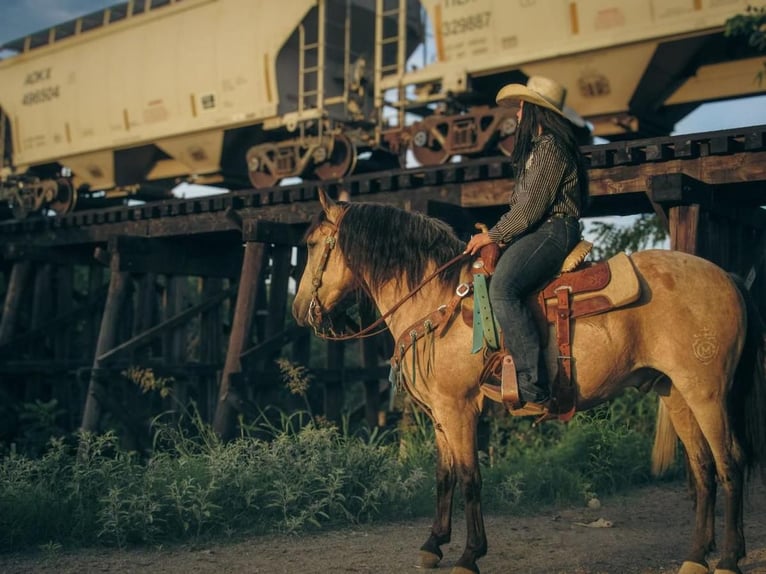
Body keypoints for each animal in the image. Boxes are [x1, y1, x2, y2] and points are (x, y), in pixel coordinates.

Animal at [292, 191, 764, 574]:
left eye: (313, 245)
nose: (298, 312)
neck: (437, 300)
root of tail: (729, 278)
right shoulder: (442, 412)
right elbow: (444, 474)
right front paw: (433, 545)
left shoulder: (459, 409)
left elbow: (470, 477)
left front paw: (469, 554)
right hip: (677, 393)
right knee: (703, 467)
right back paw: (696, 556)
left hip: (707, 393)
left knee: (730, 464)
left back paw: (728, 558)